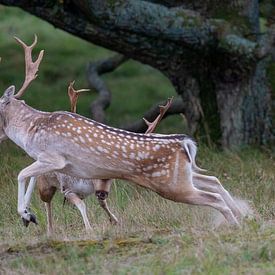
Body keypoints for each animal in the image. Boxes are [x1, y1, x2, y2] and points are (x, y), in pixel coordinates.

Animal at [0, 36, 243, 231]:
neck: (30, 130)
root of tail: (185, 143)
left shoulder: (54, 157)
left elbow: (21, 174)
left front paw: (26, 214)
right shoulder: (48, 163)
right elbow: (30, 176)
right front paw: (28, 216)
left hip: (172, 185)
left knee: (213, 196)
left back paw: (235, 226)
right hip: (183, 176)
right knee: (213, 180)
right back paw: (244, 216)